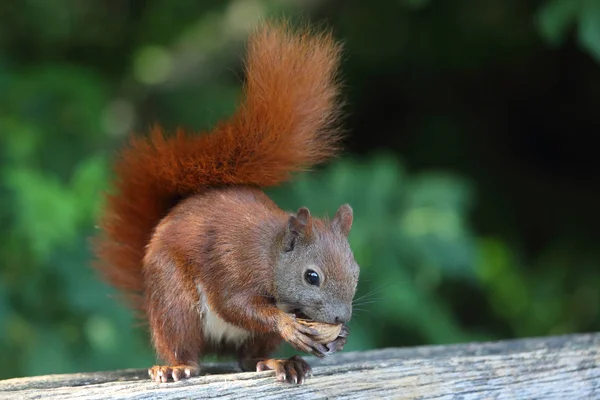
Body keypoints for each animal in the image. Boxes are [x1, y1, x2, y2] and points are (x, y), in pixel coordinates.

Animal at [92, 21, 356, 384]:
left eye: (356, 271)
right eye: (311, 277)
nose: (341, 318)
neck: (270, 256)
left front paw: (339, 338)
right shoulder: (233, 265)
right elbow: (234, 304)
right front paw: (288, 325)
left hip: (251, 339)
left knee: (248, 359)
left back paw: (278, 362)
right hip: (175, 301)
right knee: (184, 343)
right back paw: (177, 366)